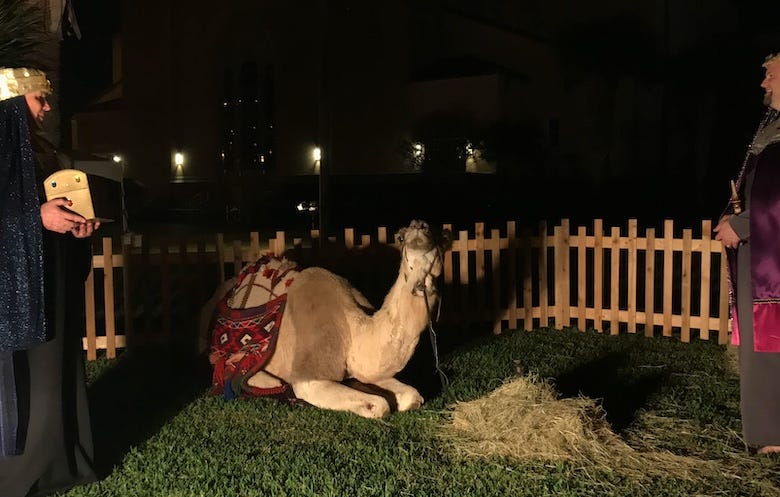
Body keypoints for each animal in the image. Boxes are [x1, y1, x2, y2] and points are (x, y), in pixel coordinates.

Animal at [201, 220, 452, 418]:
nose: (419, 228)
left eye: (439, 238)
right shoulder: (309, 378)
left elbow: (412, 396)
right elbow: (380, 406)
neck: (352, 328)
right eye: (400, 237)